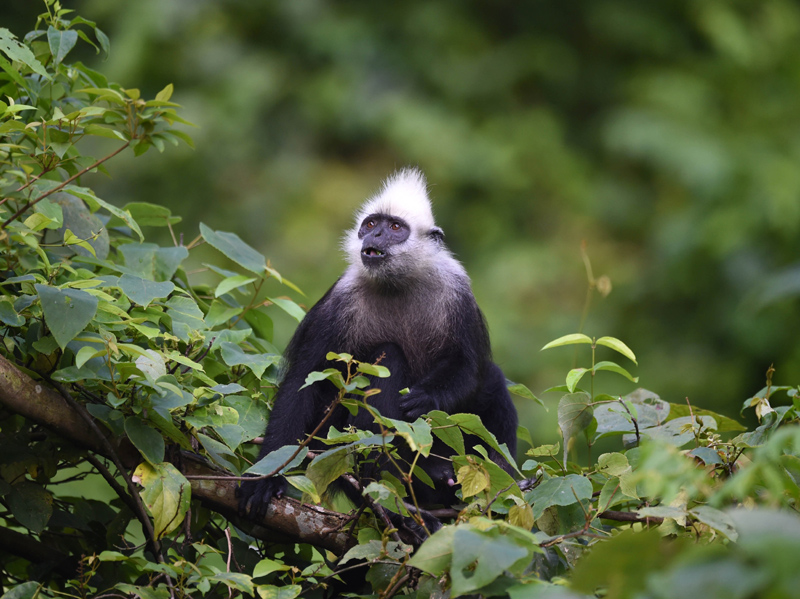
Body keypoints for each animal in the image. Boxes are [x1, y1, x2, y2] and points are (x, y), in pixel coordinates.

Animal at [239, 168, 520, 520]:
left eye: (395, 228)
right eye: (372, 224)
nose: (374, 237)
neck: (396, 285)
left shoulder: (458, 291)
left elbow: (469, 368)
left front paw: (426, 397)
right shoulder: (337, 304)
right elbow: (302, 383)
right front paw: (265, 479)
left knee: (492, 380)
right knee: (390, 356)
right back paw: (397, 484)